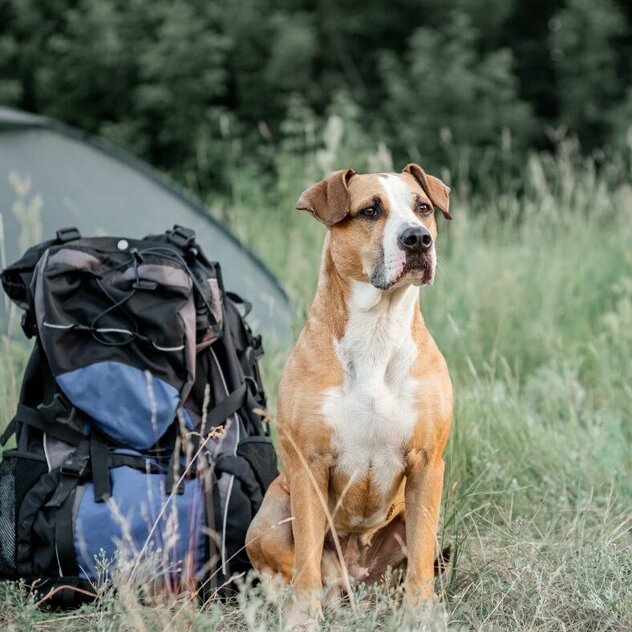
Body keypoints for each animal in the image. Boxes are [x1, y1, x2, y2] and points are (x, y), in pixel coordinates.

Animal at [244, 163, 452, 616]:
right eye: (370, 210)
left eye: (423, 208)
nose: (417, 239)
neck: (378, 330)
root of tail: (353, 575)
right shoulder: (309, 464)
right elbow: (306, 559)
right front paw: (303, 619)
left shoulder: (427, 462)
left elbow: (420, 559)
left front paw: (420, 616)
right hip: (269, 515)